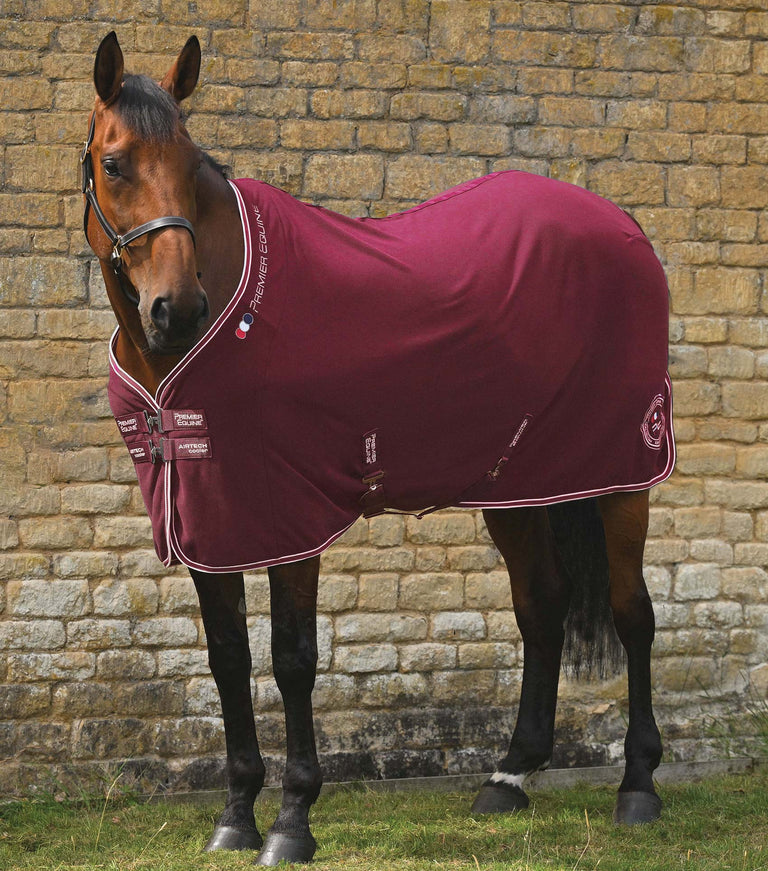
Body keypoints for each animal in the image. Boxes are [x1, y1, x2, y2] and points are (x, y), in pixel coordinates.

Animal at [79, 31, 674, 866]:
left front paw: (292, 820)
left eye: (189, 159)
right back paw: (508, 775)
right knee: (543, 604)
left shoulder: (287, 514)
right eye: (115, 162)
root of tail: (622, 224)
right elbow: (227, 655)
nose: (178, 309)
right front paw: (234, 815)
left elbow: (293, 657)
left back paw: (638, 785)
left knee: (632, 612)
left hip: (625, 470)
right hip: (516, 483)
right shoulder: (210, 516)